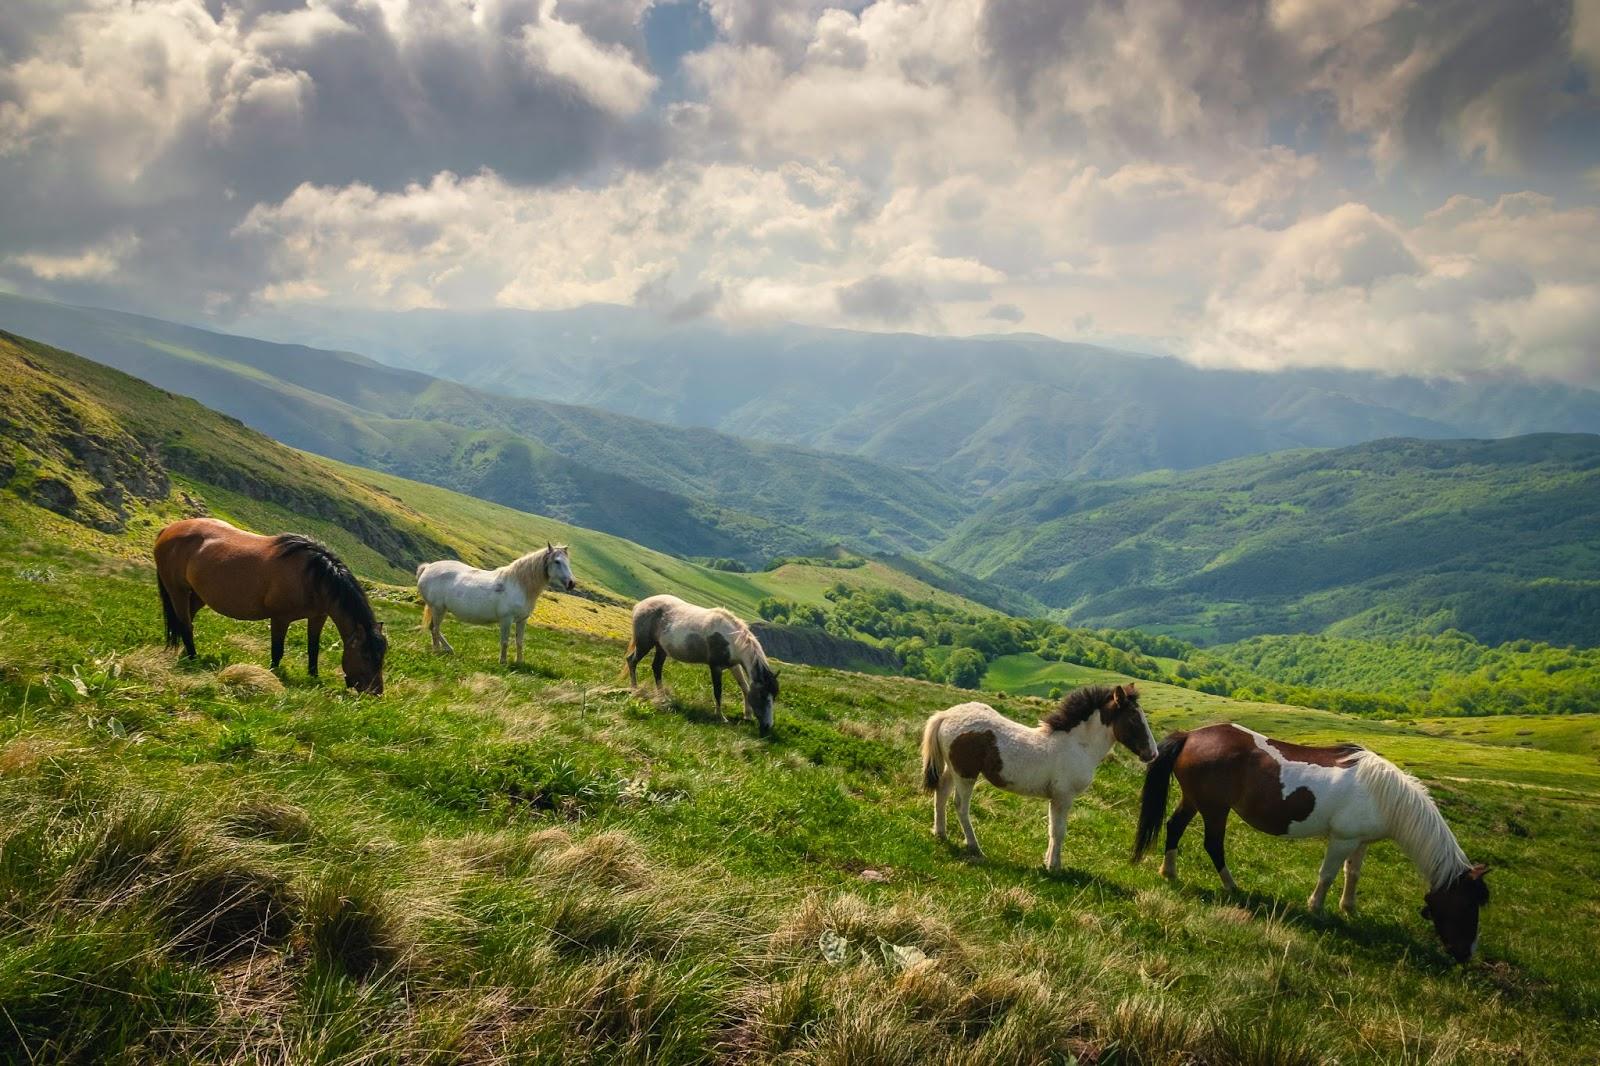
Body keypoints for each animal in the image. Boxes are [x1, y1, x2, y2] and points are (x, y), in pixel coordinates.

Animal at [153, 515, 390, 697]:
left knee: (185, 621)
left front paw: (314, 676)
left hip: (197, 595)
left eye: (382, 657)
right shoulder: (279, 618)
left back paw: (185, 653)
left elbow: (313, 648)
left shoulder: (318, 616)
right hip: (177, 591)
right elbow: (277, 650)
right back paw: (193, 659)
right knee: (185, 624)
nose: (376, 692)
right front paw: (273, 675)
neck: (312, 577)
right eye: (366, 656)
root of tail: (168, 529)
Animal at [419, 544, 576, 659]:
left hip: (438, 609)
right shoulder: (506, 619)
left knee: (433, 628)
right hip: (438, 609)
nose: (571, 583)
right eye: (557, 561)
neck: (519, 584)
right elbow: (505, 641)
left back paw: (446, 649)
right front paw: (503, 662)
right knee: (435, 629)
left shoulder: (522, 620)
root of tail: (428, 567)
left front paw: (519, 662)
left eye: (567, 562)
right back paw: (439, 651)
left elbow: (519, 642)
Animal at [624, 592, 780, 736]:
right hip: (644, 644)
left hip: (661, 648)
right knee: (632, 661)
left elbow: (745, 687)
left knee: (656, 668)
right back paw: (635, 690)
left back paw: (662, 697)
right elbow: (718, 691)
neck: (731, 639)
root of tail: (640, 605)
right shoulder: (716, 667)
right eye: (763, 696)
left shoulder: (734, 665)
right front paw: (721, 717)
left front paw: (747, 715)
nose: (768, 726)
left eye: (773, 696)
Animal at [921, 685, 1158, 870]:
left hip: (952, 769)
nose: (1153, 754)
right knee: (960, 806)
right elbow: (1059, 831)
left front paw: (1047, 862)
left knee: (941, 793)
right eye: (1134, 720)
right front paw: (1054, 867)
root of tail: (946, 715)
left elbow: (1052, 829)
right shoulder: (1064, 796)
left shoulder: (1055, 797)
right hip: (965, 774)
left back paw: (940, 833)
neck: (1077, 745)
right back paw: (974, 846)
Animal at [1139, 717, 1484, 960]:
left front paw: (1349, 908)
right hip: (1214, 809)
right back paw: (1231, 886)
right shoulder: (1342, 840)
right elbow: (1327, 875)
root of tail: (1191, 736)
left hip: (1194, 802)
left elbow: (1352, 874)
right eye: (1468, 905)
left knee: (1174, 827)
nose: (1465, 955)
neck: (1382, 794)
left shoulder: (1360, 842)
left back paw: (1169, 871)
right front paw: (1316, 909)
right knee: (1212, 844)